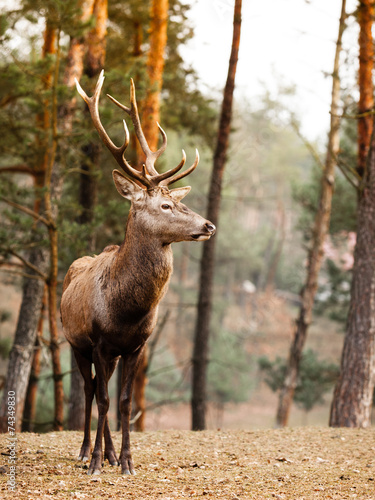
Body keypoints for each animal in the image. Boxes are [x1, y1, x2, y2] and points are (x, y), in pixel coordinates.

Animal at [60, 71, 216, 476]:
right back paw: (86, 450)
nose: (208, 225)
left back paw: (111, 453)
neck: (126, 310)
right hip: (74, 342)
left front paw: (127, 462)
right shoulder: (99, 342)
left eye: (179, 200)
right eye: (165, 205)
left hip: (111, 354)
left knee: (104, 391)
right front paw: (96, 463)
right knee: (89, 390)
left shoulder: (135, 347)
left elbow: (126, 402)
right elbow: (103, 400)